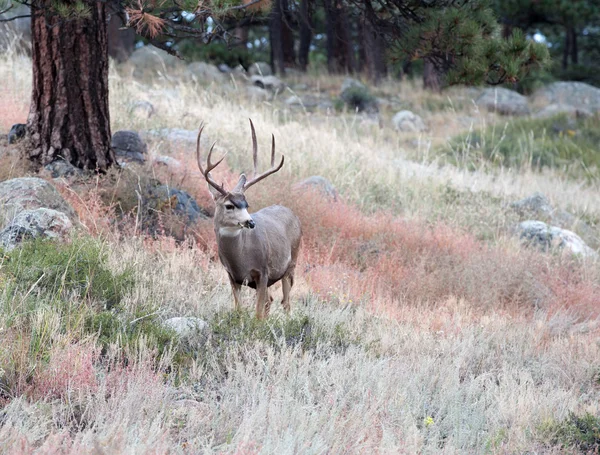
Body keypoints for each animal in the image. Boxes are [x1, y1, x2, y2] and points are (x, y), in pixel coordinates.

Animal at [196, 120, 300, 320]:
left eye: (246, 204)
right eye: (229, 205)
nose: (251, 222)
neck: (240, 258)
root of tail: (293, 213)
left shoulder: (263, 272)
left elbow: (257, 313)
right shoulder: (232, 276)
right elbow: (239, 309)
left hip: (291, 264)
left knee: (286, 302)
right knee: (271, 300)